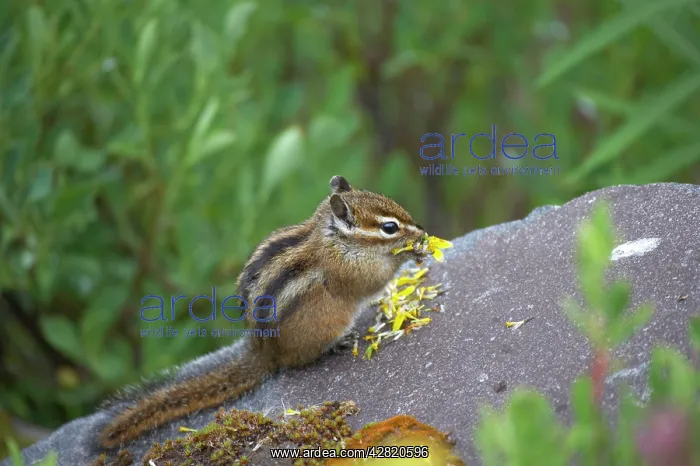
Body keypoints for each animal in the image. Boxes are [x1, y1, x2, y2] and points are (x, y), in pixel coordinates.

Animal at [98, 175, 427, 449]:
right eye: (389, 227)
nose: (422, 230)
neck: (335, 239)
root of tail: (263, 352)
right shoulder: (349, 271)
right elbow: (374, 280)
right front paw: (411, 253)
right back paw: (338, 343)